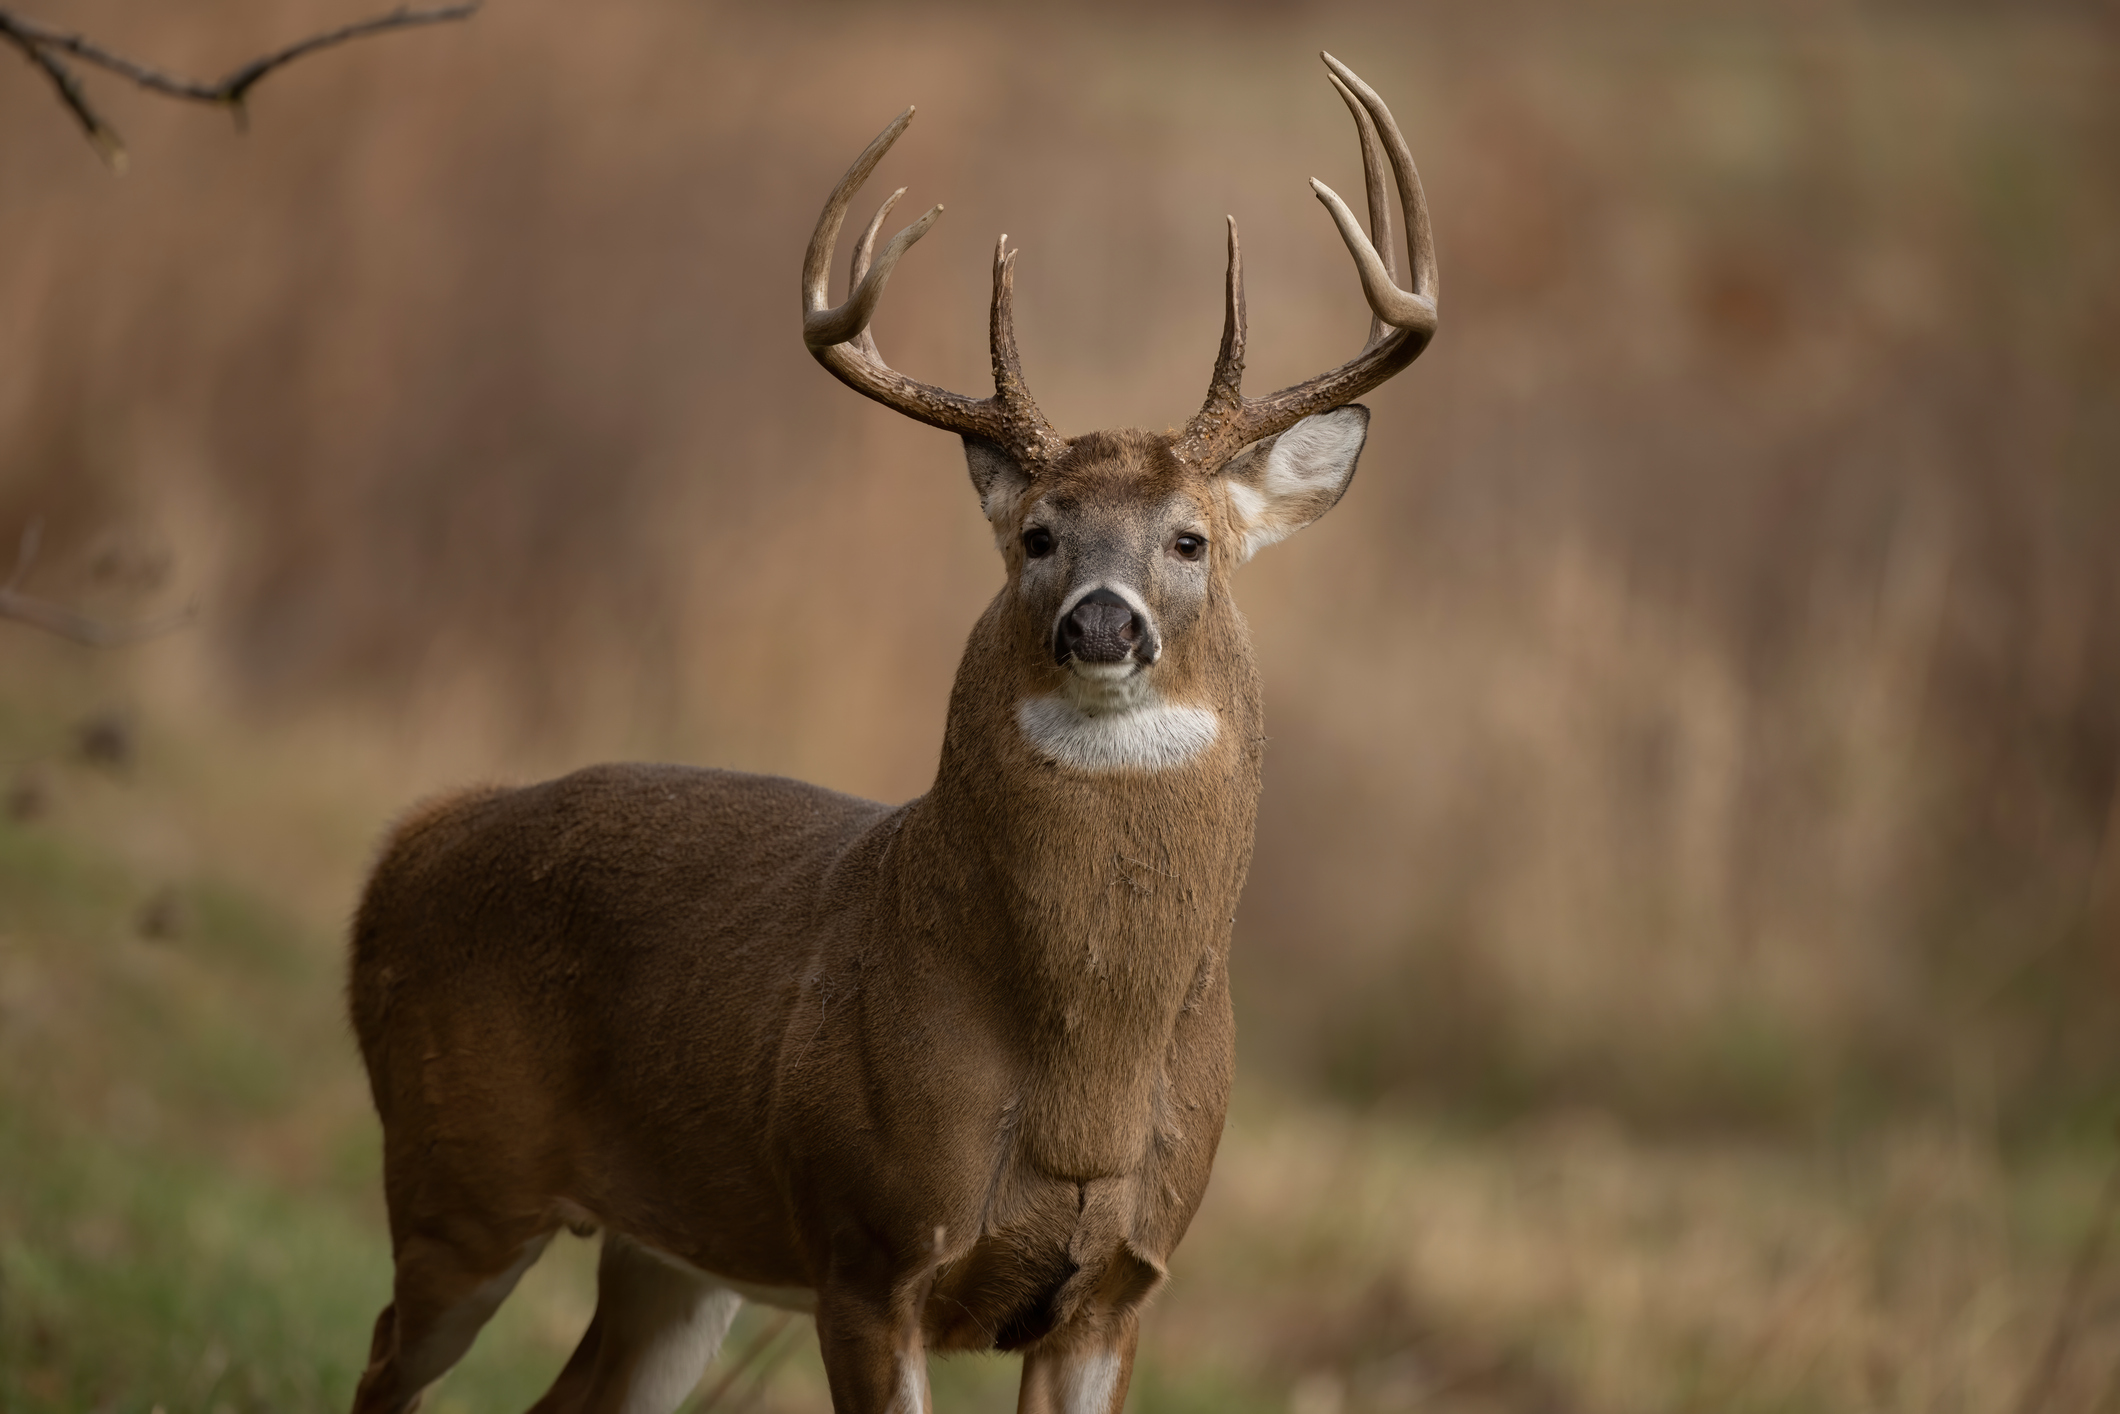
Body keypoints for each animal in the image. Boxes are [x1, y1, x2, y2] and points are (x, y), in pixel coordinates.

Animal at [347, 51, 1436, 1414]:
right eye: (1037, 532)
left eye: (1188, 539)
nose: (1100, 620)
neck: (1085, 1079)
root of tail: (407, 847)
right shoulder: (868, 1245)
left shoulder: (1121, 1286)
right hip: (457, 1170)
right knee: (386, 1357)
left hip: (671, 1252)